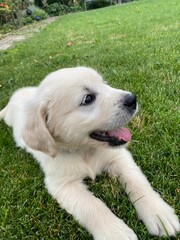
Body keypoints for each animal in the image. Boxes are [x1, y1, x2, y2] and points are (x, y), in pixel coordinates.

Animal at [0, 66, 179, 239]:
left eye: (104, 83)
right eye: (88, 99)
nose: (132, 99)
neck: (85, 150)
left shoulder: (119, 157)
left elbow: (138, 182)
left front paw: (159, 214)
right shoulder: (62, 184)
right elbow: (92, 206)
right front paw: (116, 233)